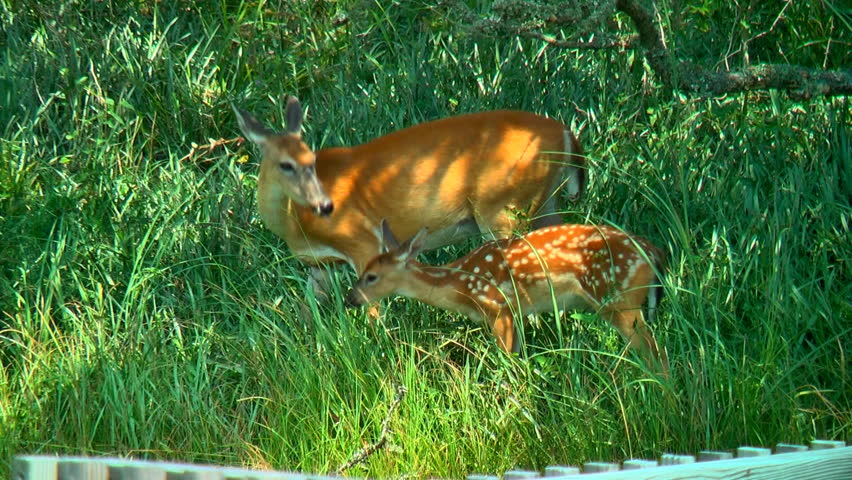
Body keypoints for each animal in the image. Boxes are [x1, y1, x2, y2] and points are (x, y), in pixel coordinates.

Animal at [233, 97, 586, 299]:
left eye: (312, 160)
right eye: (286, 164)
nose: (325, 205)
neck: (295, 225)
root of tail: (566, 133)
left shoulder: (362, 241)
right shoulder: (318, 265)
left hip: (501, 207)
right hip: (544, 203)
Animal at [347, 220, 669, 373]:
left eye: (371, 276)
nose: (351, 299)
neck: (461, 284)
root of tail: (654, 253)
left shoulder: (498, 307)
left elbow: (506, 361)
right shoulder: (516, 313)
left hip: (618, 297)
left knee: (657, 352)